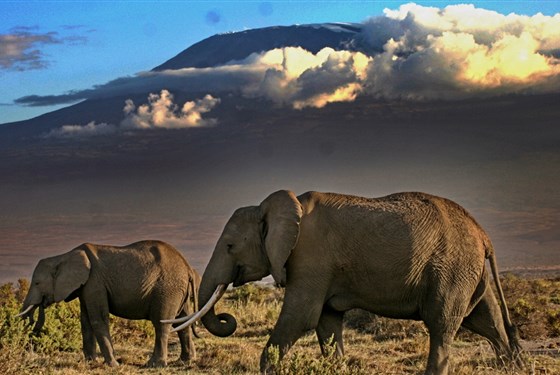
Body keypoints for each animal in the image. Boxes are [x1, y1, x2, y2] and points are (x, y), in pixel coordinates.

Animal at [17, 241, 200, 368]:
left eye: (37, 283)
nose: (33, 321)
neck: (63, 257)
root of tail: (187, 267)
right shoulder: (85, 286)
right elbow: (85, 321)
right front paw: (91, 363)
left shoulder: (94, 282)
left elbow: (97, 319)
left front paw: (113, 365)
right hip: (177, 290)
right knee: (183, 321)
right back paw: (184, 362)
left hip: (167, 289)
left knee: (161, 323)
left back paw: (154, 365)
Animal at [173, 192, 524, 374]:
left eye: (230, 246)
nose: (227, 319)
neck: (273, 206)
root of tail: (483, 234)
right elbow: (327, 323)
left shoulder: (310, 256)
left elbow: (301, 318)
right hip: (467, 269)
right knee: (486, 318)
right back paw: (513, 367)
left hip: (451, 267)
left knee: (442, 323)